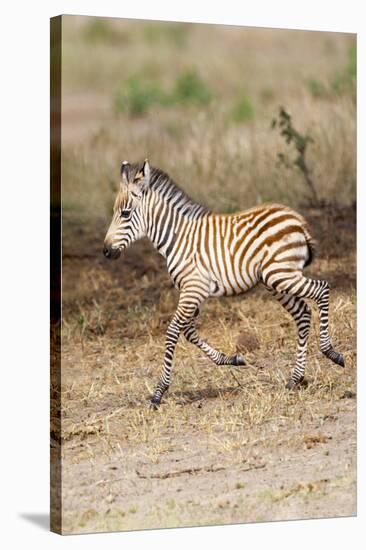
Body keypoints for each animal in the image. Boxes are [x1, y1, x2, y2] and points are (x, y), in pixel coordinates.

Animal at [103, 160, 346, 410]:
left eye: (125, 213)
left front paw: (158, 393)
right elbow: (188, 331)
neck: (177, 238)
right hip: (276, 280)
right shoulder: (194, 292)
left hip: (281, 275)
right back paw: (295, 379)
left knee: (322, 289)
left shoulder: (193, 289)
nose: (106, 251)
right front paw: (232, 359)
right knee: (303, 313)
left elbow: (173, 331)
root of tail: (297, 220)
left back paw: (331, 353)